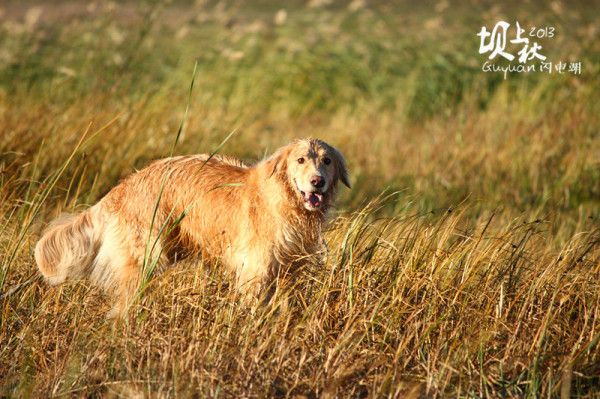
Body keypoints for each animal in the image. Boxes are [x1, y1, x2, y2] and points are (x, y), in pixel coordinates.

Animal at [34, 139, 352, 318]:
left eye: (327, 160)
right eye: (300, 159)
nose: (317, 182)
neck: (286, 201)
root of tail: (123, 187)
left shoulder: (289, 270)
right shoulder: (256, 270)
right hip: (145, 259)